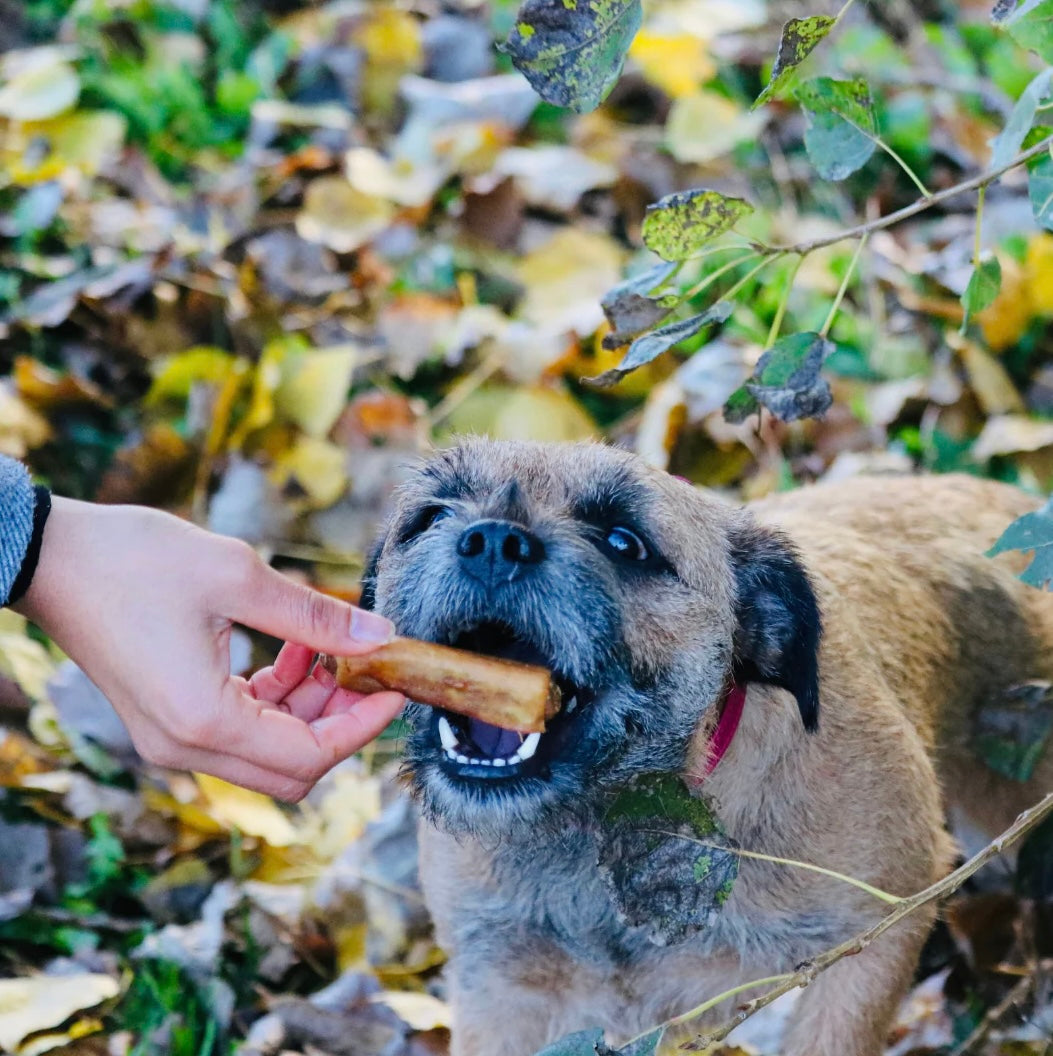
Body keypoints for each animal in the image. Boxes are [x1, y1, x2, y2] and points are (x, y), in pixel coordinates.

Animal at [359, 441, 1051, 1056]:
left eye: (624, 541)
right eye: (431, 517)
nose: (493, 540)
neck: (602, 836)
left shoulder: (871, 937)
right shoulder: (498, 988)